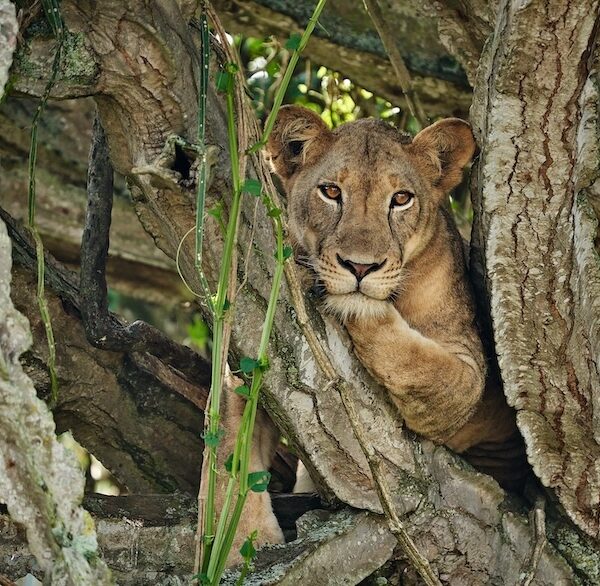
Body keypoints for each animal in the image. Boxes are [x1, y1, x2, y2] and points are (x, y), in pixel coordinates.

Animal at [213, 106, 528, 564]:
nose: (360, 267)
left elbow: (419, 366)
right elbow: (228, 450)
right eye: (330, 192)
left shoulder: (469, 370)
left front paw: (354, 303)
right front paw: (237, 547)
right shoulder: (248, 360)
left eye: (400, 199)